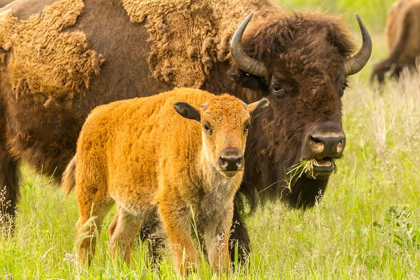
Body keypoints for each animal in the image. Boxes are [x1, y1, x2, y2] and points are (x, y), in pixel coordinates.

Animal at [62, 88, 270, 276]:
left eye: (246, 125)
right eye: (206, 125)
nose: (231, 159)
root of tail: (93, 116)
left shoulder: (220, 214)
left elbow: (220, 263)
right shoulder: (173, 211)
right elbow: (188, 261)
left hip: (131, 206)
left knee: (118, 237)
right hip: (92, 197)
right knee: (86, 235)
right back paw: (83, 272)